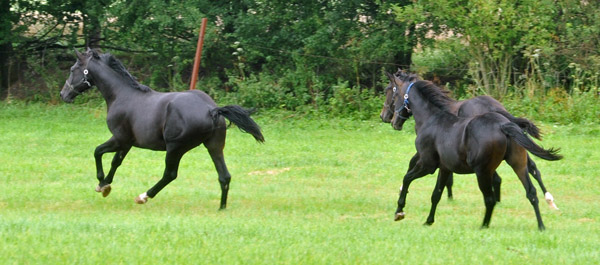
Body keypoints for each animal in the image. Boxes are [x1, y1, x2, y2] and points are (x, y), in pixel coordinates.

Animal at [59, 48, 264, 207]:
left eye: (73, 69)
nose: (63, 94)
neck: (121, 95)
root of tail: (211, 109)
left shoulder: (119, 138)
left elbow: (98, 152)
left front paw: (101, 184)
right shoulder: (127, 143)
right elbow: (116, 162)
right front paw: (106, 186)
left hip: (175, 148)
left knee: (170, 174)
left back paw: (143, 196)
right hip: (214, 146)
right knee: (224, 176)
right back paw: (221, 208)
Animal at [386, 72, 560, 229]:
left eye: (392, 93)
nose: (390, 119)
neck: (432, 119)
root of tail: (503, 124)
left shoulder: (428, 165)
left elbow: (407, 177)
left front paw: (399, 211)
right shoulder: (444, 168)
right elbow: (436, 194)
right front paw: (429, 221)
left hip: (482, 172)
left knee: (490, 198)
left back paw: (484, 225)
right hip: (517, 164)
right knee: (531, 190)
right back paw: (541, 224)